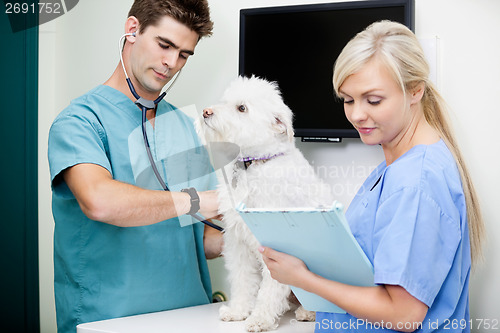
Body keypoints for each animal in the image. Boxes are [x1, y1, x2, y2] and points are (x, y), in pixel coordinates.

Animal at [197, 76, 334, 330]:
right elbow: (242, 280)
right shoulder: (238, 242)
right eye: (225, 101)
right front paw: (239, 311)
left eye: (242, 108)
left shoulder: (279, 248)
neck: (256, 163)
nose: (206, 111)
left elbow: (270, 288)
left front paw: (259, 319)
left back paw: (308, 312)